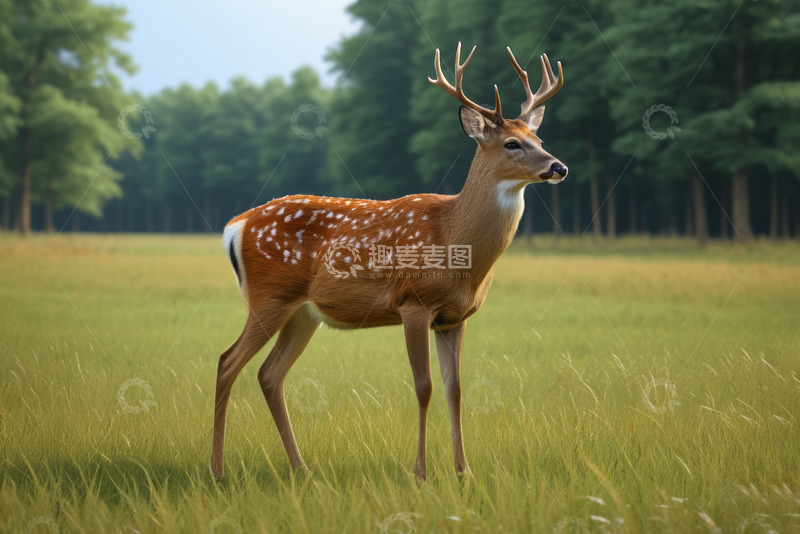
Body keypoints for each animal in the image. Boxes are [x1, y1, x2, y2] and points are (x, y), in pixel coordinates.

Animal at [211, 43, 566, 481]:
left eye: (538, 136)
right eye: (512, 144)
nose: (558, 167)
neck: (453, 239)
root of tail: (235, 226)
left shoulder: (455, 317)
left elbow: (455, 388)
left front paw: (464, 472)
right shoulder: (413, 302)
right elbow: (424, 386)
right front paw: (420, 473)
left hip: (302, 312)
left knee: (269, 374)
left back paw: (301, 468)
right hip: (269, 296)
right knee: (227, 363)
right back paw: (217, 470)